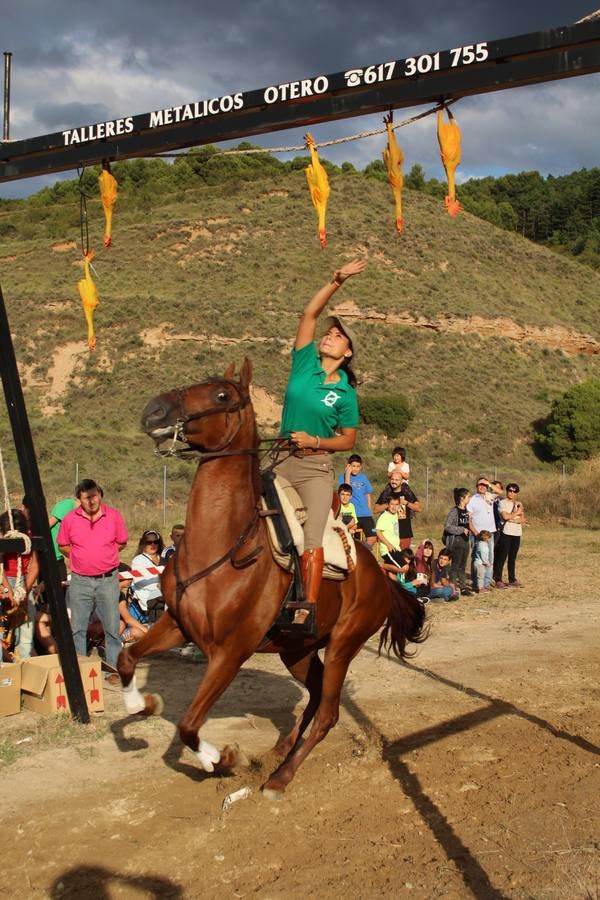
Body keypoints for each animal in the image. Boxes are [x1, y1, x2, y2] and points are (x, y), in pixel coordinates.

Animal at [117, 358, 426, 796]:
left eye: (222, 395)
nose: (153, 411)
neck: (223, 544)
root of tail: (383, 577)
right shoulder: (178, 624)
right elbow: (126, 658)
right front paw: (140, 705)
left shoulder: (231, 651)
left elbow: (189, 725)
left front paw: (223, 758)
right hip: (296, 650)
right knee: (314, 696)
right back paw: (279, 751)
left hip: (342, 647)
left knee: (328, 712)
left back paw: (281, 776)